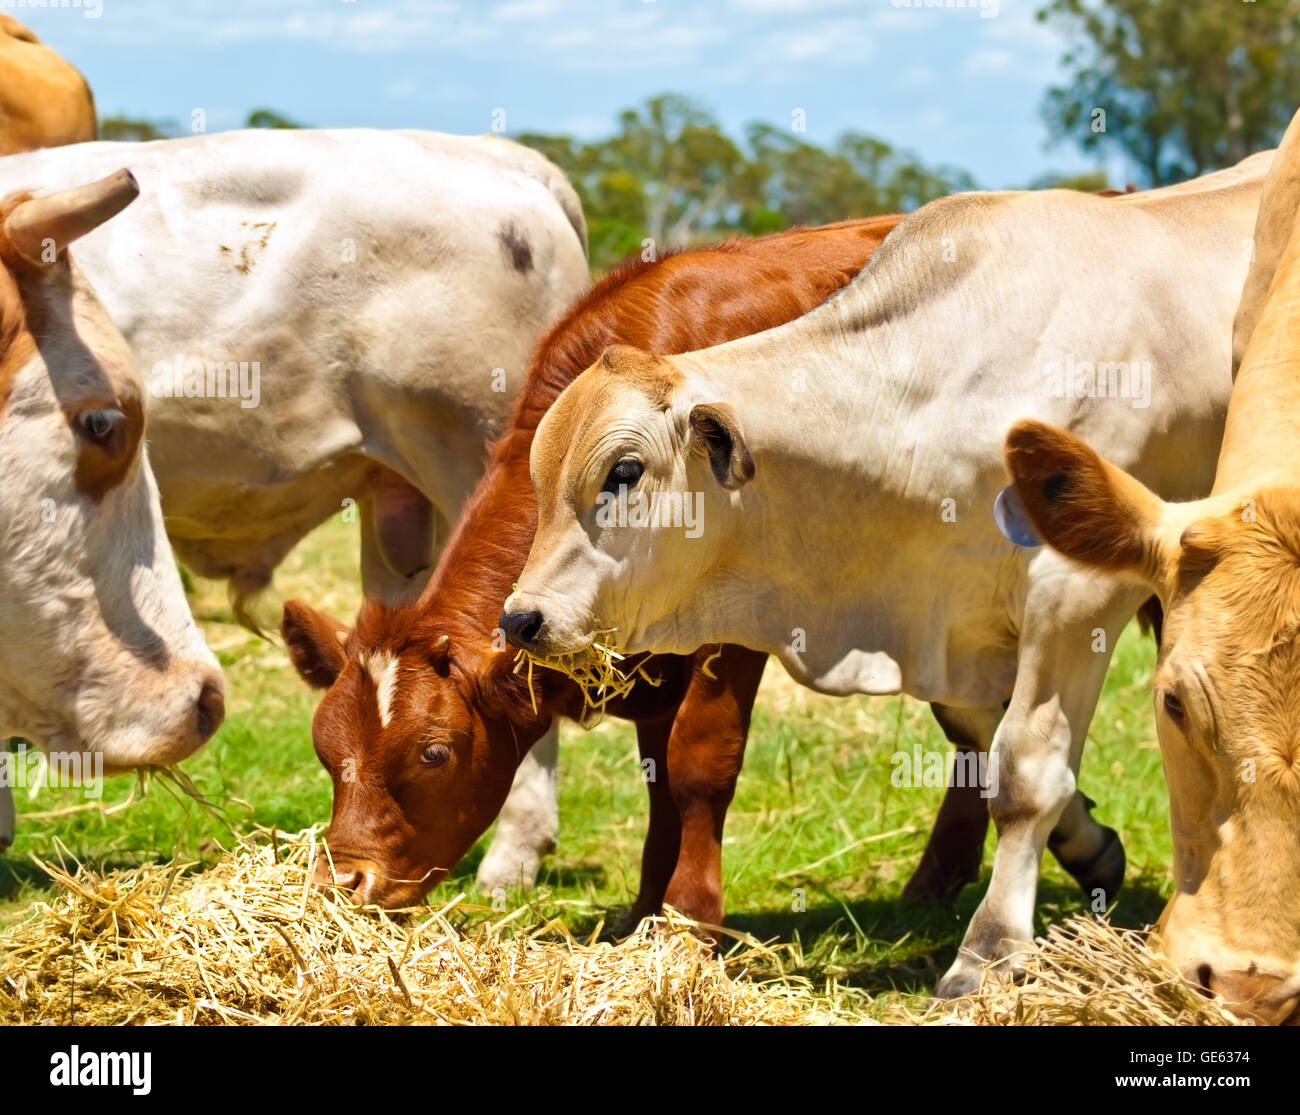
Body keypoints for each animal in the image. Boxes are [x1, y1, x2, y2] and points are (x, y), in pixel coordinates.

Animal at [501, 150, 1272, 996]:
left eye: (624, 470)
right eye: (539, 477)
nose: (521, 617)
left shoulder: (1077, 597)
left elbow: (1025, 771)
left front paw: (989, 948)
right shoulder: (959, 628)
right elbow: (982, 736)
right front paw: (1092, 846)